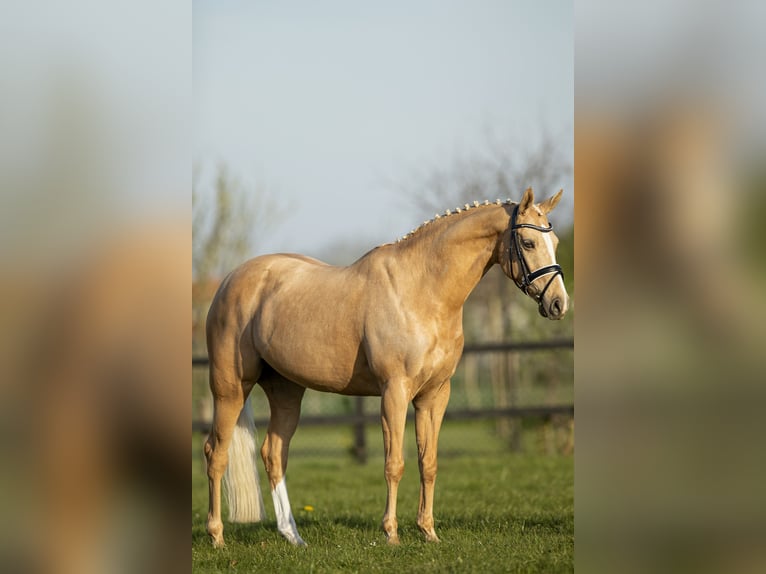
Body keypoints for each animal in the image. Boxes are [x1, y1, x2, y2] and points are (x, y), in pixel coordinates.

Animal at [204, 187, 568, 548]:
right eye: (528, 243)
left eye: (555, 241)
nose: (559, 304)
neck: (421, 292)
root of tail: (230, 281)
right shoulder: (394, 392)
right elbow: (394, 463)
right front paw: (391, 533)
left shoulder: (435, 396)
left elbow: (428, 462)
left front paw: (428, 531)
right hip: (230, 389)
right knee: (215, 452)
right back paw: (217, 536)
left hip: (286, 392)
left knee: (273, 454)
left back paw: (293, 536)